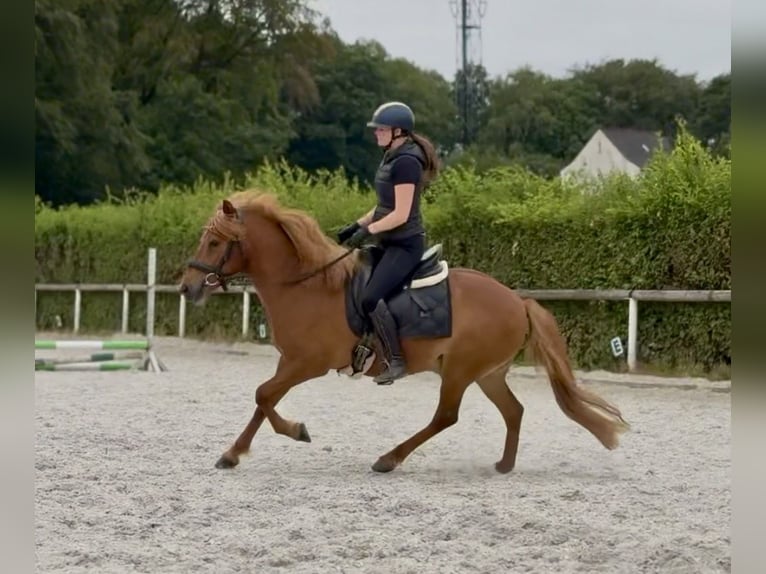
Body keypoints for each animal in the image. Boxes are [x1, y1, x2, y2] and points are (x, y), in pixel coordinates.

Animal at [178, 189, 630, 473]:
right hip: (487, 373)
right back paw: (504, 465)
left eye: (215, 243)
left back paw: (389, 459)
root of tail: (519, 301)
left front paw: (296, 432)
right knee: (513, 411)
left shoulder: (308, 363)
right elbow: (263, 399)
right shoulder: (289, 361)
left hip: (460, 370)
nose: (187, 287)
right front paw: (233, 454)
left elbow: (263, 395)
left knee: (446, 416)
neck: (306, 285)